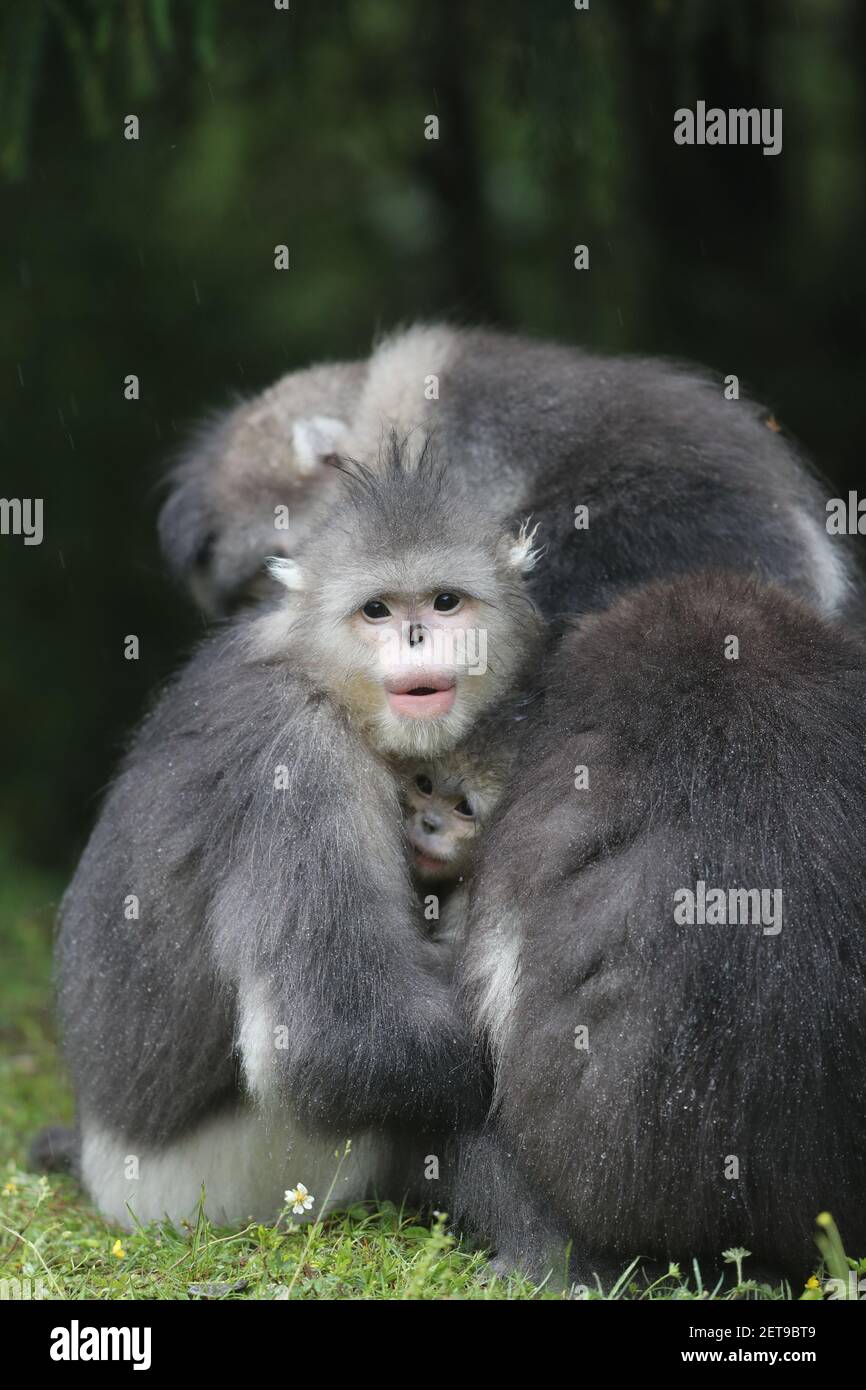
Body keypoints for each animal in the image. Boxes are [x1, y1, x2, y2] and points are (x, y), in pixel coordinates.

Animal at [44, 436, 542, 1228]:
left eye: (445, 601)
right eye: (376, 610)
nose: (415, 635)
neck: (319, 678)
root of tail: (110, 1175)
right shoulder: (302, 765)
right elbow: (330, 1041)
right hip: (244, 1178)